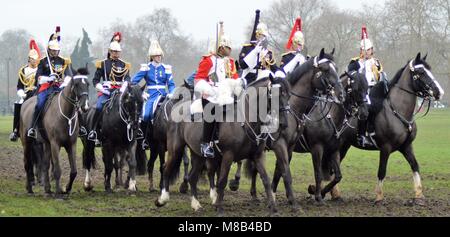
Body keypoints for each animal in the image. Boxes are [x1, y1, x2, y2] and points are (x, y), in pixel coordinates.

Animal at [20, 66, 90, 194]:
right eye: (76, 84)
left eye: (87, 84)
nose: (85, 107)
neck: (65, 115)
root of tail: (26, 103)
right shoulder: (55, 144)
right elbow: (57, 170)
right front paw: (58, 191)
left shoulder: (71, 144)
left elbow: (74, 171)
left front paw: (67, 188)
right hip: (27, 142)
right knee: (27, 164)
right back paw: (30, 188)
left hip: (46, 144)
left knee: (45, 164)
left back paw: (47, 189)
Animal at [153, 75, 290, 216]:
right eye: (276, 95)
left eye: (288, 95)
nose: (284, 123)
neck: (244, 121)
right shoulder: (228, 155)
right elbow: (222, 180)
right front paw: (219, 207)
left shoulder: (257, 156)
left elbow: (266, 180)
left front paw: (273, 208)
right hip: (175, 149)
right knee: (166, 168)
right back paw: (162, 199)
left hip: (198, 154)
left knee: (192, 177)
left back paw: (196, 205)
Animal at [326, 52, 444, 205]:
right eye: (421, 72)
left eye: (429, 69)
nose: (439, 92)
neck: (396, 110)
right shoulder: (385, 148)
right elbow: (382, 171)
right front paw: (379, 196)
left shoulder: (406, 146)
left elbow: (415, 166)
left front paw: (419, 195)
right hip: (340, 145)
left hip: (345, 145)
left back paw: (335, 194)